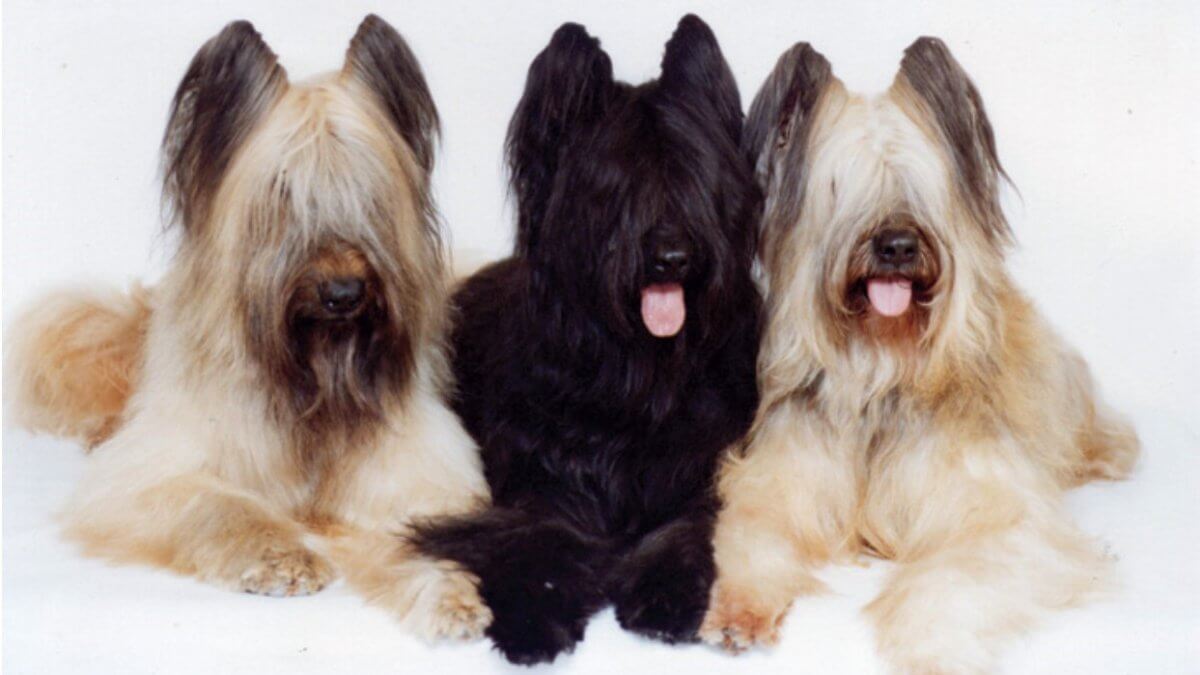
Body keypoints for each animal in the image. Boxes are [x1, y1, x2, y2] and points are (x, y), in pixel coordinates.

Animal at [5, 14, 492, 634]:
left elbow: (424, 533)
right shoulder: (150, 475)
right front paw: (282, 555)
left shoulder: (414, 474)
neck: (313, 377)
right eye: (284, 195)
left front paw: (451, 595)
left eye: (367, 194)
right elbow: (220, 503)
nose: (343, 293)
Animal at [415, 14, 758, 662]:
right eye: (616, 189)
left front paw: (667, 599)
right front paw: (533, 618)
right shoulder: (540, 479)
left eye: (693, 179)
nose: (673, 257)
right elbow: (536, 536)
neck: (635, 377)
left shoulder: (696, 472)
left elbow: (681, 529)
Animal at [700, 38, 1142, 672]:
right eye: (842, 187)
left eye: (920, 187)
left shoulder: (999, 518)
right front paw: (739, 609)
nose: (897, 246)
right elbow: (752, 535)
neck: (880, 375)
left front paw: (933, 651)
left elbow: (950, 583)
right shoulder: (776, 481)